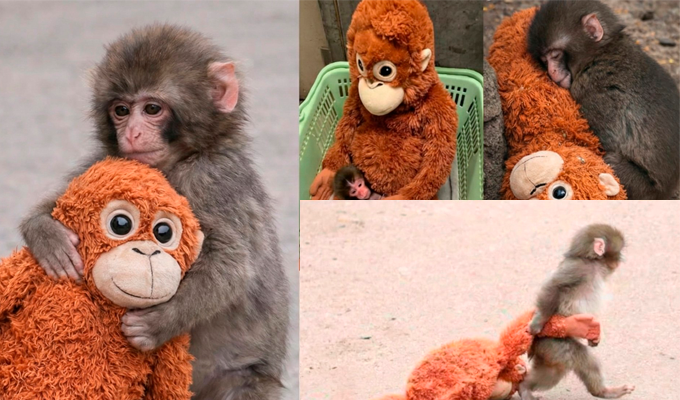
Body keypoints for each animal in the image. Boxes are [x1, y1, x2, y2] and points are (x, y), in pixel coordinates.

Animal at [19, 24, 289, 400]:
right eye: (120, 110)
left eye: (151, 108)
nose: (132, 133)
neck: (178, 161)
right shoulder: (108, 162)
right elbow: (61, 202)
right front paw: (48, 237)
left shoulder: (213, 180)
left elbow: (233, 265)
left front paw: (160, 322)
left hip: (246, 378)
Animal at [519, 224, 634, 400]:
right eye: (619, 251)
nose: (622, 259)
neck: (592, 263)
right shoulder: (578, 269)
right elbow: (554, 286)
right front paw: (538, 322)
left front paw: (594, 336)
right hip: (555, 342)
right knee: (582, 359)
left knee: (553, 371)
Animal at [528, 0, 680, 200]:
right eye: (544, 60)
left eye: (555, 55)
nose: (551, 71)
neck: (600, 53)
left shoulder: (595, 91)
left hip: (643, 188)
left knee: (611, 160)